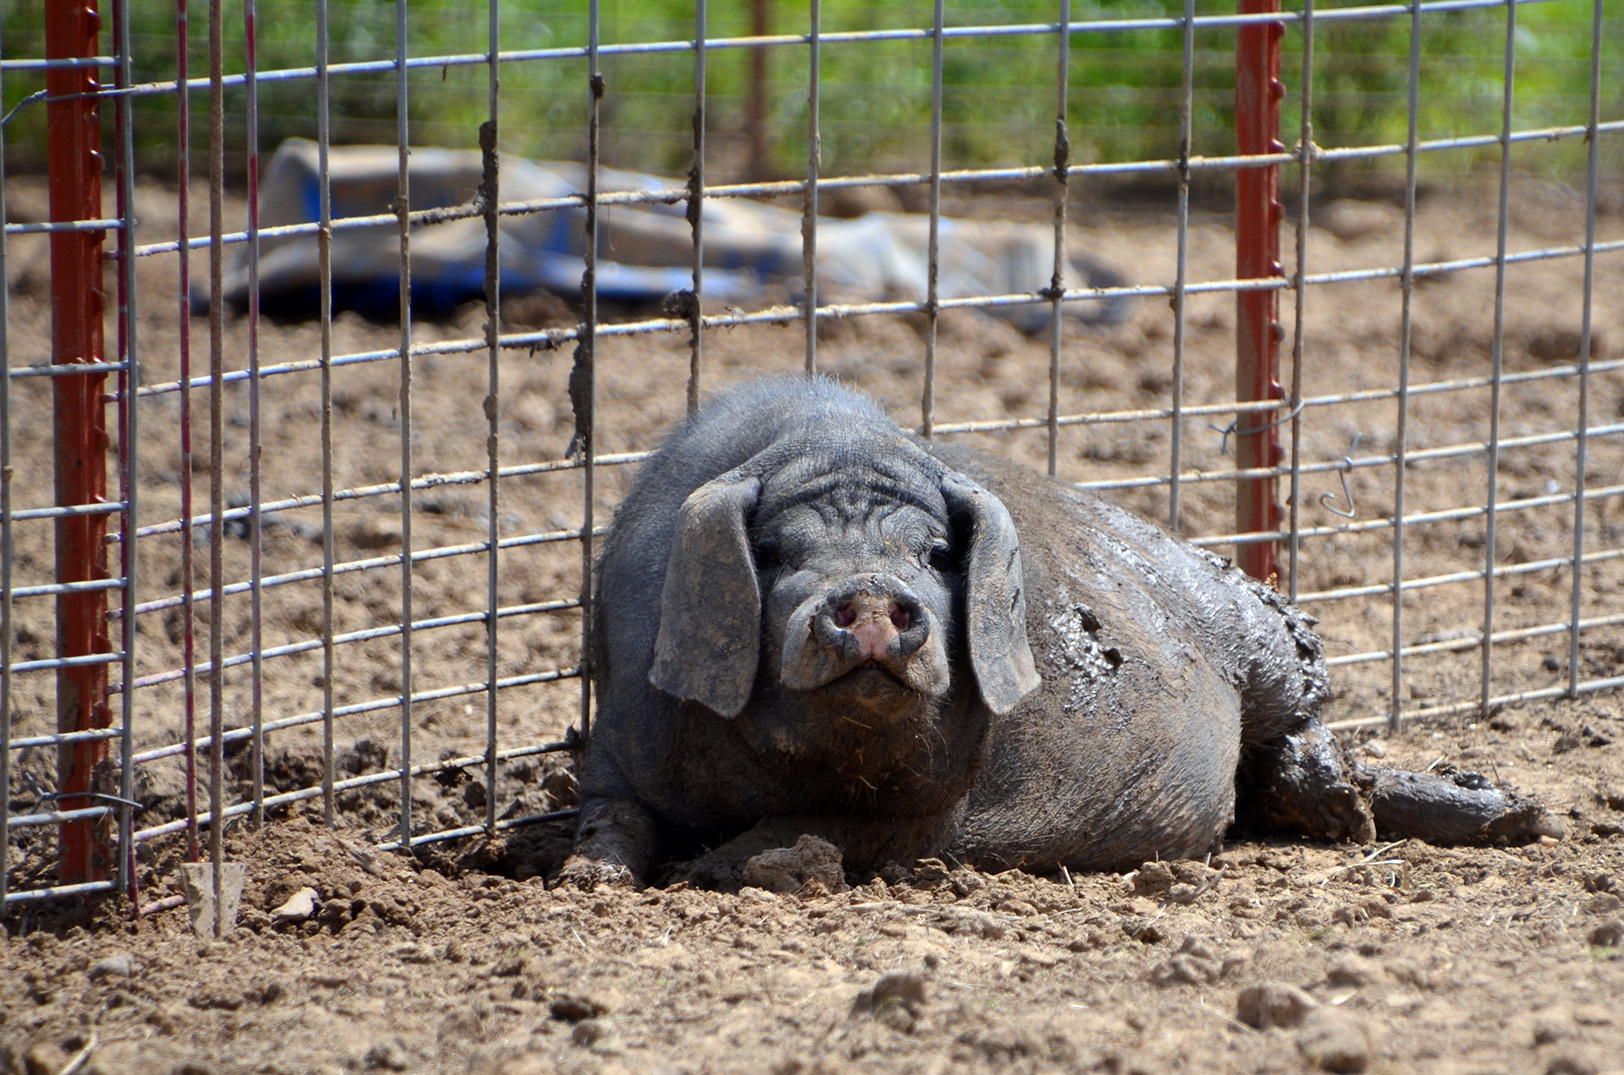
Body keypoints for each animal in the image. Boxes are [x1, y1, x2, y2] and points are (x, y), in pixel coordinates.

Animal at [563, 377, 1555, 888]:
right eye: (770, 551)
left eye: (934, 553)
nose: (872, 593)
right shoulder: (618, 730)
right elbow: (610, 809)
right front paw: (594, 877)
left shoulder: (941, 796)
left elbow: (822, 833)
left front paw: (706, 870)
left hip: (1267, 640)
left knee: (1303, 738)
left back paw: (1458, 813)